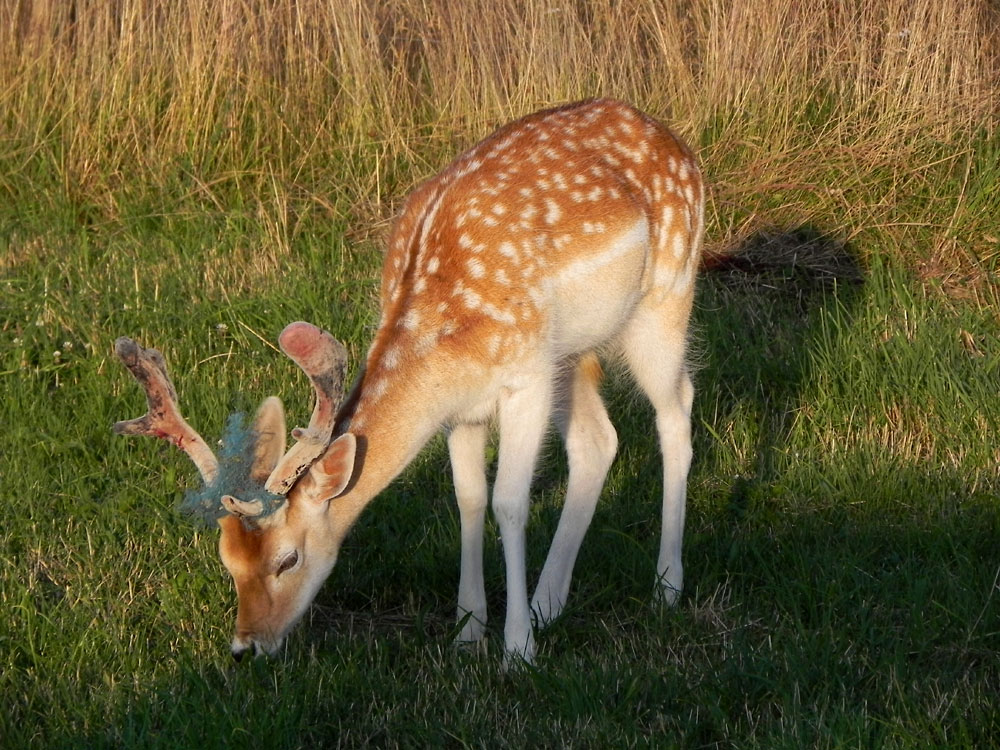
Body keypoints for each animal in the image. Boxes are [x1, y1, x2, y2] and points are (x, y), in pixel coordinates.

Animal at [115, 98, 704, 664]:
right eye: (227, 561)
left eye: (289, 558)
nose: (245, 648)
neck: (442, 350)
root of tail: (676, 142)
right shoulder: (462, 408)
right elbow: (469, 498)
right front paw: (468, 631)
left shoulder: (525, 375)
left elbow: (509, 504)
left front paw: (517, 651)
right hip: (574, 351)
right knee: (597, 441)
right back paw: (548, 602)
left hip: (665, 296)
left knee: (676, 410)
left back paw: (666, 587)